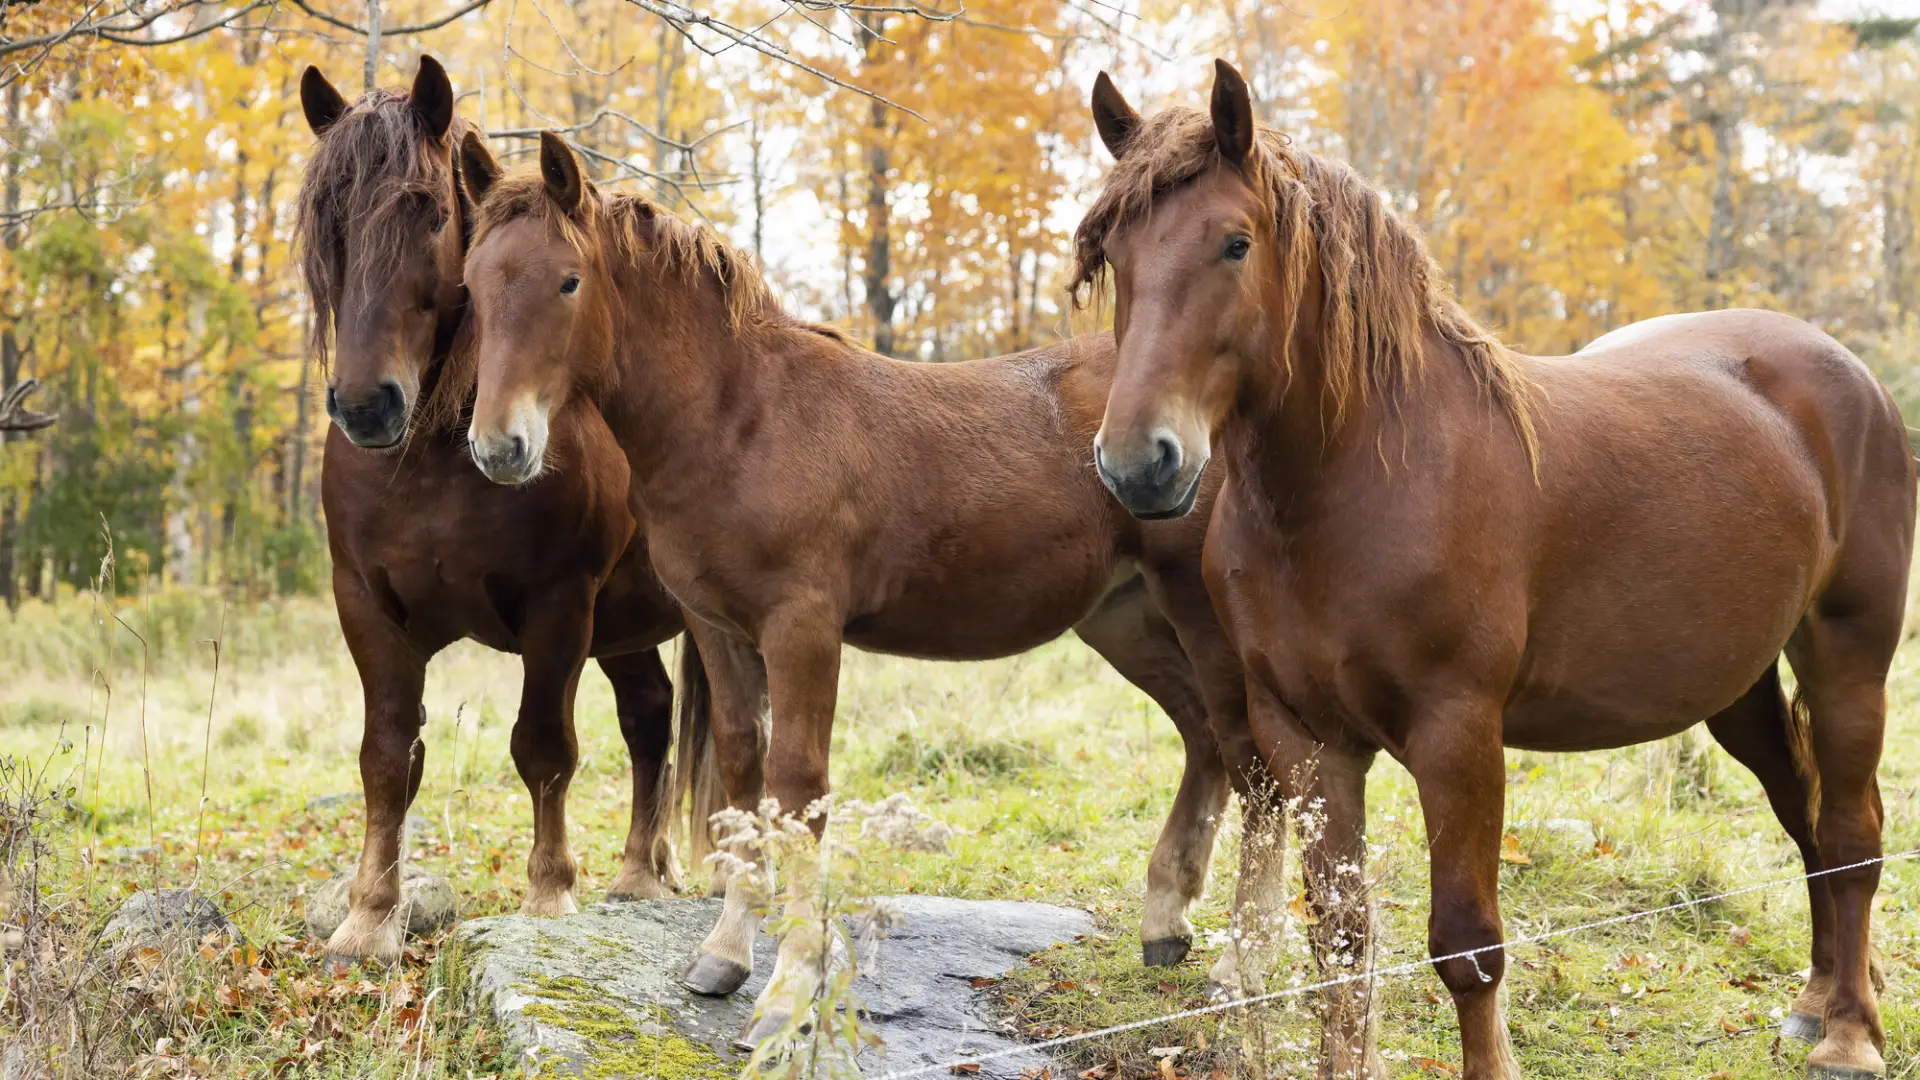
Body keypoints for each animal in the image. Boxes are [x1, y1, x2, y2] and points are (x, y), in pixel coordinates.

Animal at [296, 58, 709, 966]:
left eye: (428, 210)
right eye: (327, 218)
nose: (368, 406)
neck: (434, 455)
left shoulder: (558, 608)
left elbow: (543, 748)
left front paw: (549, 893)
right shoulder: (365, 607)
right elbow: (388, 756)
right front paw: (369, 917)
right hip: (625, 626)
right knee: (649, 716)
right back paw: (641, 869)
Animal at [453, 131, 1288, 1050]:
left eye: (568, 280)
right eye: (472, 285)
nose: (499, 448)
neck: (740, 421)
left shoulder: (802, 628)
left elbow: (797, 786)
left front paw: (789, 990)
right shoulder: (718, 628)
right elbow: (743, 776)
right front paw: (725, 956)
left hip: (1197, 610)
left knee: (1253, 760)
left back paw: (1243, 962)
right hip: (1125, 617)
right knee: (1205, 740)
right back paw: (1167, 922)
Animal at [1079, 60, 1914, 1080]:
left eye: (1234, 243)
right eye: (1112, 255)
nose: (1138, 465)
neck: (1362, 482)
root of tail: (1850, 376)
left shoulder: (1458, 734)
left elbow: (1467, 948)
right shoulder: (1304, 740)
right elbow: (1341, 942)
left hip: (1849, 657)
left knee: (1852, 833)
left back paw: (1850, 1033)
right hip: (1739, 685)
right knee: (1804, 815)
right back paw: (1815, 1000)